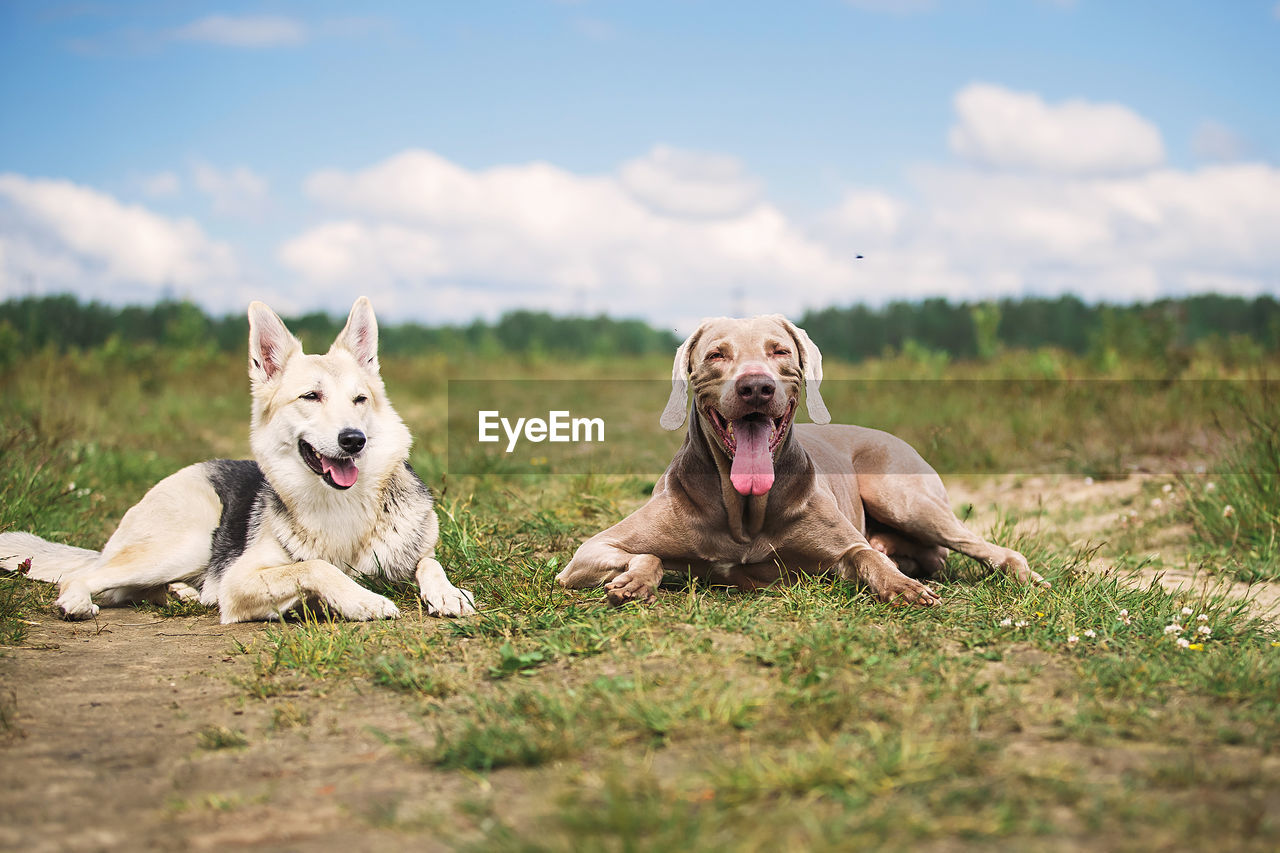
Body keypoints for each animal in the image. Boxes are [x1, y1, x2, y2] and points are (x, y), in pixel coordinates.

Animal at [555, 313, 1044, 604]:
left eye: (780, 350)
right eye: (716, 355)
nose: (756, 386)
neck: (743, 511)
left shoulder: (842, 551)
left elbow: (864, 556)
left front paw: (903, 587)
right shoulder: (590, 551)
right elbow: (644, 554)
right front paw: (635, 579)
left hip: (902, 496)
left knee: (990, 551)